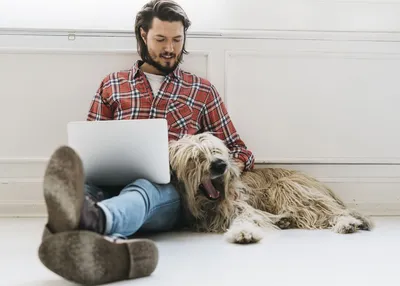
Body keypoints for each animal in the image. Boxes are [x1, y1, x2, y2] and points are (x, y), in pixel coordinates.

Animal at [168, 134, 372, 244]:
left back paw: (347, 223)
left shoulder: (239, 206)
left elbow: (244, 218)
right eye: (195, 157)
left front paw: (244, 232)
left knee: (332, 212)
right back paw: (284, 220)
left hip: (286, 188)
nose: (221, 165)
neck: (207, 205)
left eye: (216, 151)